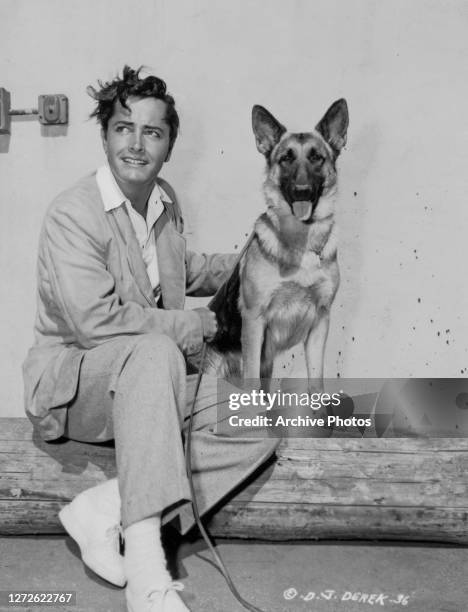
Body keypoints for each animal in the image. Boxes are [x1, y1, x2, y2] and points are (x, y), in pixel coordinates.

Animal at [205, 100, 348, 388]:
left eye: (316, 157)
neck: (300, 242)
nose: (302, 191)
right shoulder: (253, 321)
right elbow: (251, 384)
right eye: (286, 159)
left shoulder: (320, 322)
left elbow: (316, 383)